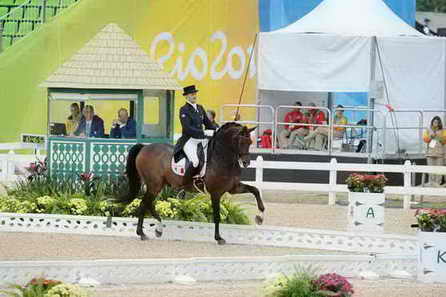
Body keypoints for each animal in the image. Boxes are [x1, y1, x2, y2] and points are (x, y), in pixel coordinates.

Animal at [116, 121, 266, 244]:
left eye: (250, 143)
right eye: (241, 142)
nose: (246, 163)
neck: (221, 157)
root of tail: (144, 148)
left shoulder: (233, 188)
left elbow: (256, 190)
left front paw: (260, 217)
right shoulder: (215, 193)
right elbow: (217, 216)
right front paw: (219, 238)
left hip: (158, 185)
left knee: (148, 204)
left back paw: (158, 229)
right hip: (154, 185)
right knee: (144, 204)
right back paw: (142, 233)